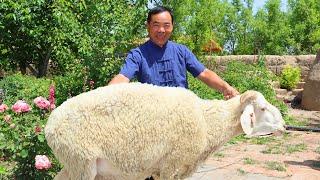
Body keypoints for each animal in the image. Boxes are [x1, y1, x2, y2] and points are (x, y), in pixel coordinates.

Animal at [44, 82, 284, 179]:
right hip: (81, 162)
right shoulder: (172, 164)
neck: (207, 122)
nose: (284, 125)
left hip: (75, 164)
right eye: (262, 108)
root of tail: (49, 126)